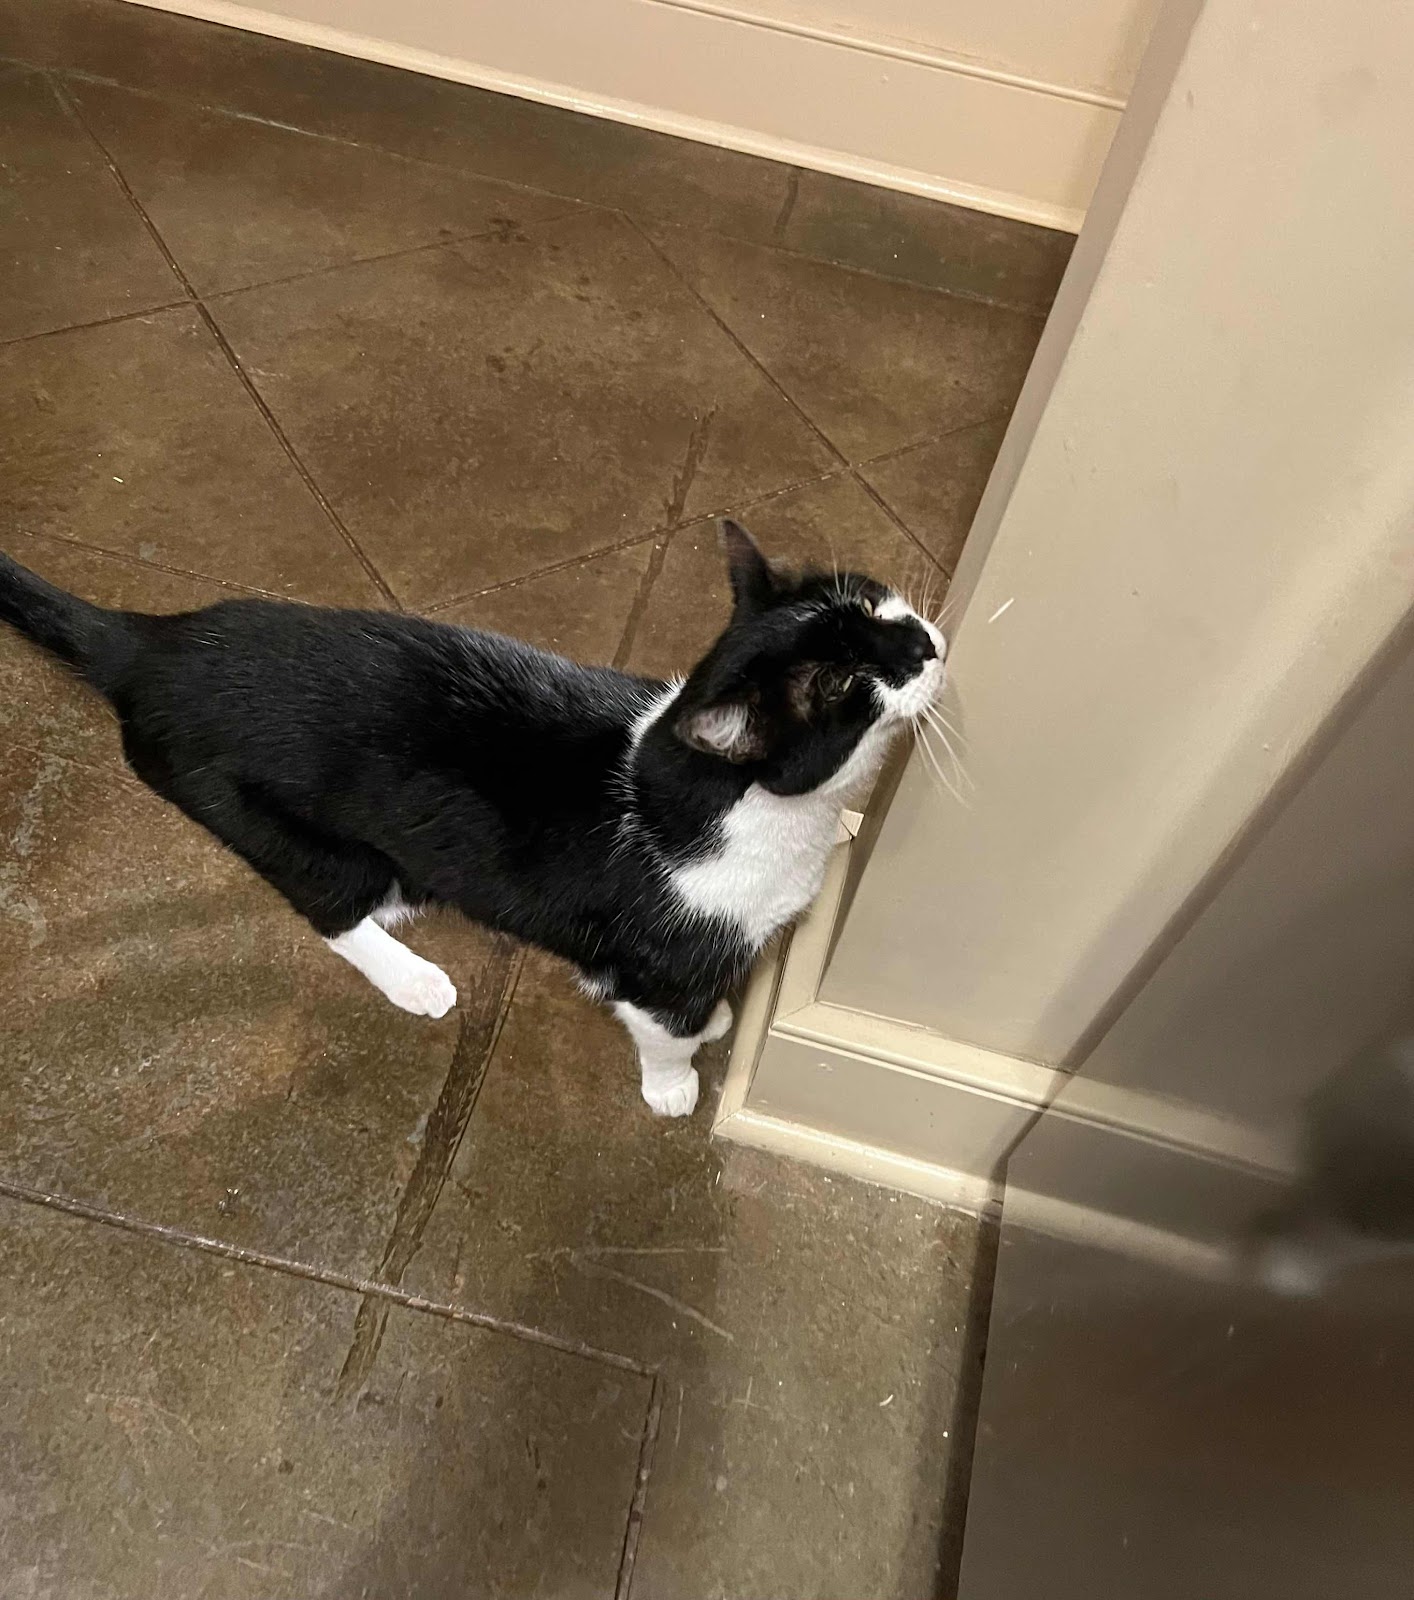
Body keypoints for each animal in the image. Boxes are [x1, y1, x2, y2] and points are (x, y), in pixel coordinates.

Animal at [0, 520, 944, 1117]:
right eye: (845, 687)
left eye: (875, 603)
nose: (930, 644)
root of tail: (153, 647)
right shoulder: (657, 955)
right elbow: (662, 1022)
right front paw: (677, 1078)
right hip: (256, 811)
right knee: (329, 902)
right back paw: (414, 976)